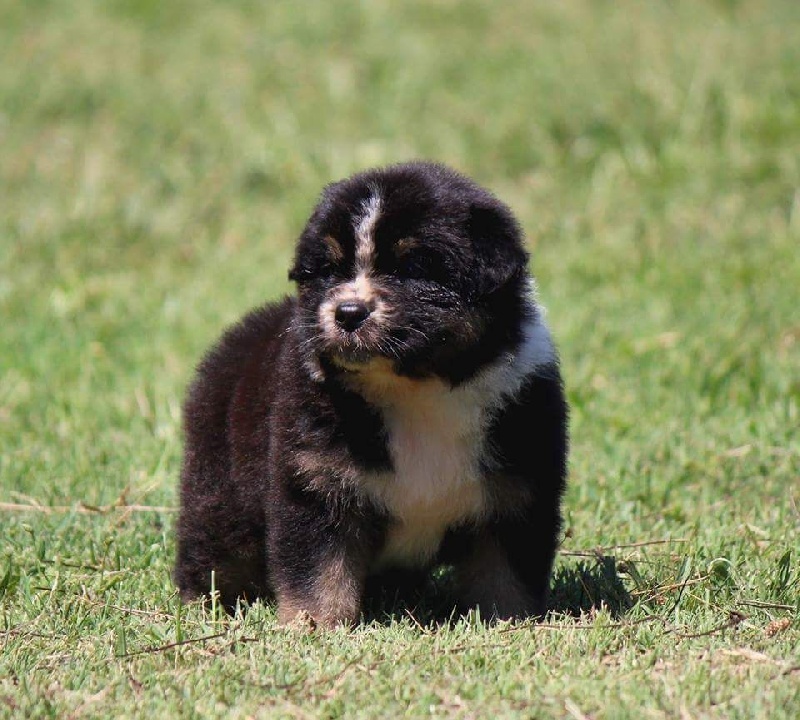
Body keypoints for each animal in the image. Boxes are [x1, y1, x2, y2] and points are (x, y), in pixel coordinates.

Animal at [173, 162, 568, 624]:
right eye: (329, 269)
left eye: (411, 266)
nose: (347, 313)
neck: (417, 389)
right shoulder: (315, 480)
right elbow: (319, 570)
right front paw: (312, 626)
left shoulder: (518, 490)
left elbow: (505, 576)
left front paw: (509, 624)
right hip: (220, 487)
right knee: (214, 547)